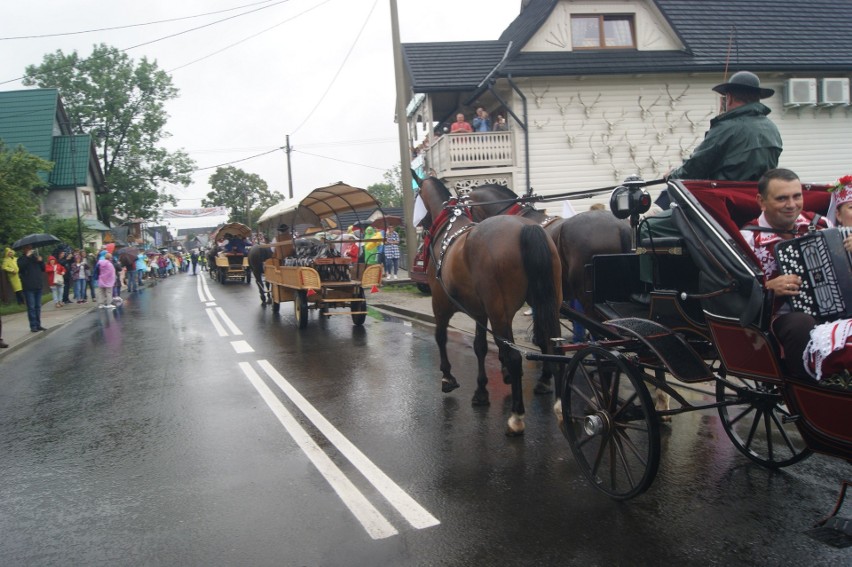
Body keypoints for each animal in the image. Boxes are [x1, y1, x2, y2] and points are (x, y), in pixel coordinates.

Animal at [414, 178, 564, 434]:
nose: (420, 227)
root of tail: (526, 229)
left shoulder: (440, 303)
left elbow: (441, 337)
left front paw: (447, 377)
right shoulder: (480, 312)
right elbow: (480, 347)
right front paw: (482, 391)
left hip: (500, 312)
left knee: (515, 357)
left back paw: (516, 417)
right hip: (547, 303)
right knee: (554, 346)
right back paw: (560, 404)